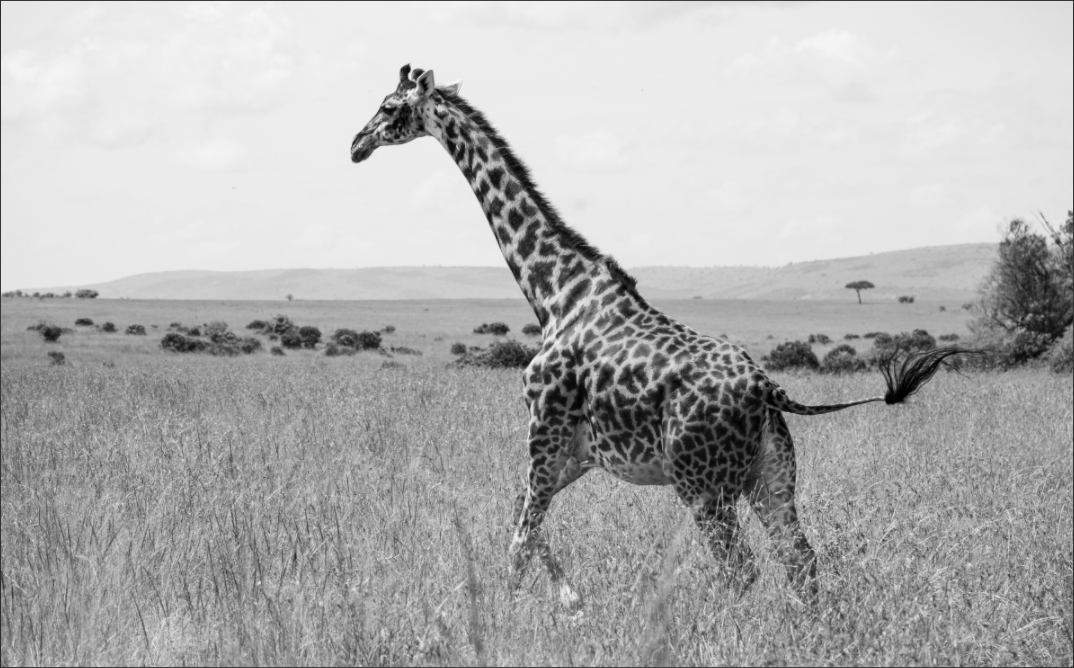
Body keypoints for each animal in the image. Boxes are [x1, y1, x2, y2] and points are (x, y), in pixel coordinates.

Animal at [350, 65, 978, 608]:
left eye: (389, 106)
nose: (355, 144)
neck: (554, 293)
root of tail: (767, 390)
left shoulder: (544, 432)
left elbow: (520, 541)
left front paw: (515, 611)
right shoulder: (577, 454)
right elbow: (521, 520)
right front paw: (571, 602)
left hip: (704, 485)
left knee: (742, 570)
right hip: (771, 476)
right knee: (799, 559)